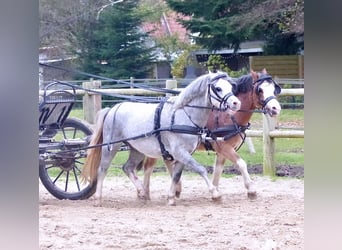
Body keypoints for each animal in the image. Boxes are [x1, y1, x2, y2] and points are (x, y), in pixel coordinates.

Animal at [141, 68, 280, 203]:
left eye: (274, 88)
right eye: (260, 90)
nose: (276, 108)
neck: (228, 116)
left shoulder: (223, 151)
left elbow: (218, 170)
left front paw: (215, 192)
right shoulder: (224, 147)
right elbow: (241, 164)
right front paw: (251, 190)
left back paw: (169, 190)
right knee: (149, 166)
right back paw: (145, 193)